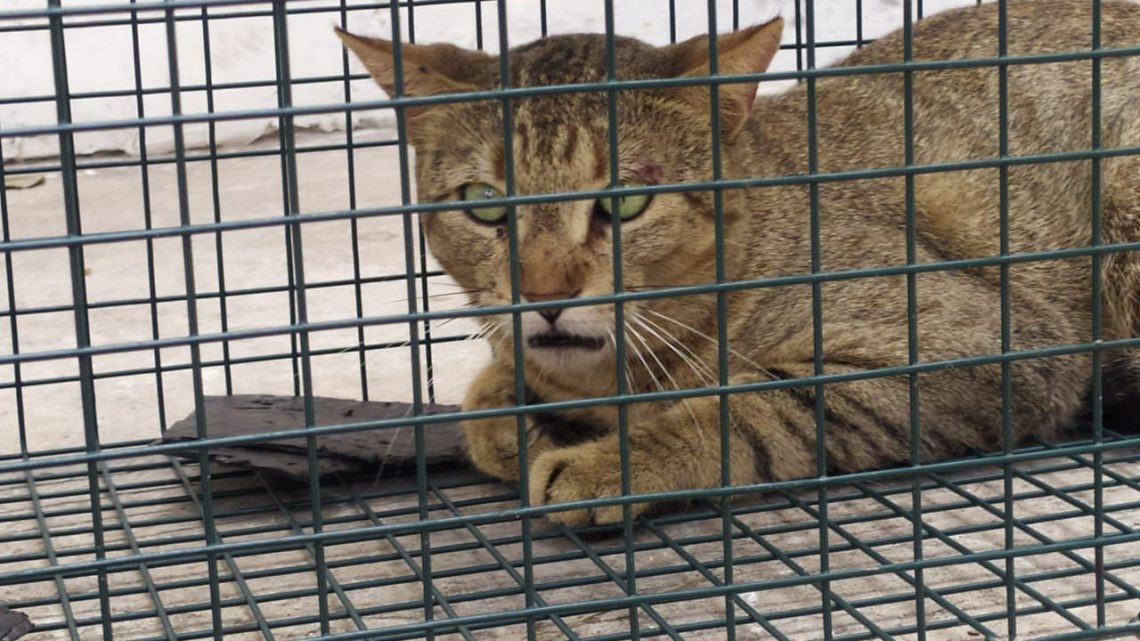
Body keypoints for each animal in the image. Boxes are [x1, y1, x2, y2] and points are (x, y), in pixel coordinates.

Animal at [335, 0, 1140, 524]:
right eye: (484, 204)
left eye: (626, 202)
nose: (544, 294)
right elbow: (484, 403)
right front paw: (515, 419)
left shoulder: (978, 341)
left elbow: (751, 407)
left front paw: (605, 462)